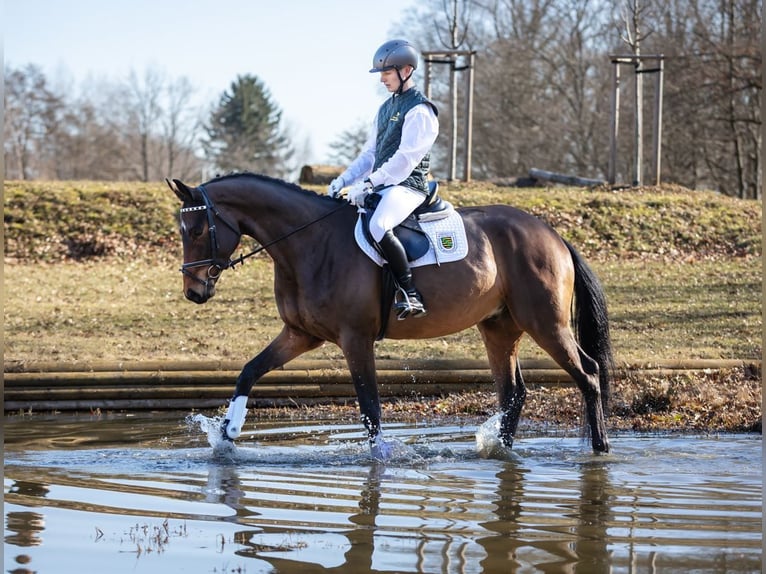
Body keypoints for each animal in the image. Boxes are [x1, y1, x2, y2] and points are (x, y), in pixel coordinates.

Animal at [167, 172, 614, 455]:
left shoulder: (355, 339)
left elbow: (370, 405)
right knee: (514, 392)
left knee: (588, 373)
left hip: (545, 323)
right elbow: (249, 370)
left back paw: (600, 447)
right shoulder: (300, 334)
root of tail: (552, 235)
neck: (309, 243)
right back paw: (500, 450)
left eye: (198, 230)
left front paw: (380, 456)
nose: (194, 292)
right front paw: (227, 433)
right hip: (499, 328)